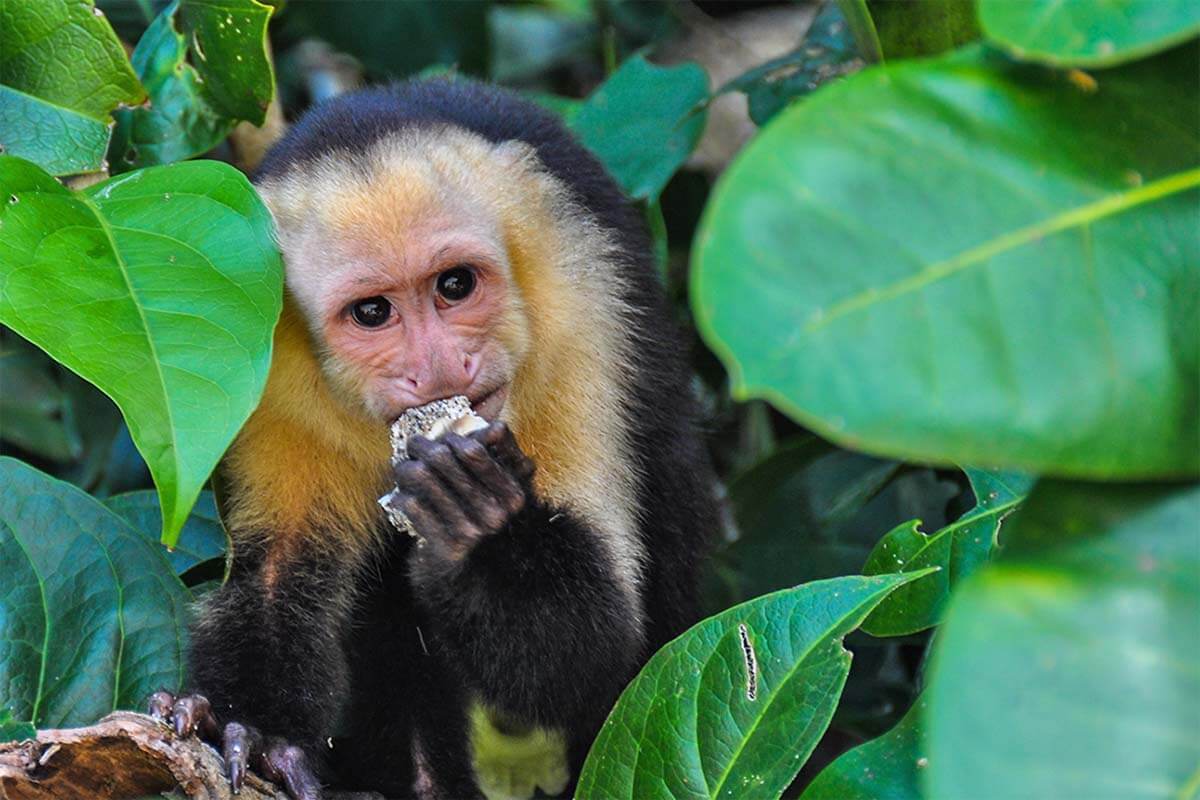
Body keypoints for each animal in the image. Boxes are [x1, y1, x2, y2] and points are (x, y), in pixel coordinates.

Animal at [146, 79, 715, 800]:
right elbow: (278, 573)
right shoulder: (262, 358)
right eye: (372, 312)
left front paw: (476, 523)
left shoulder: (580, 307)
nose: (442, 364)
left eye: (455, 285)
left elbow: (597, 652)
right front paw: (254, 728)